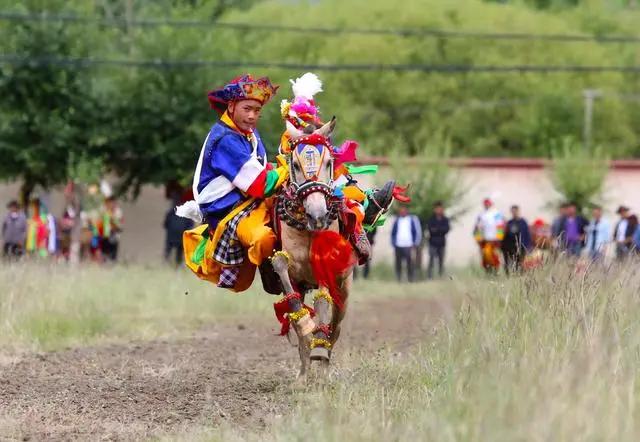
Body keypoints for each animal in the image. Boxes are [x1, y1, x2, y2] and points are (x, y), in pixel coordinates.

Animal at [268, 121, 358, 380]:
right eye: (296, 165)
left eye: (328, 162)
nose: (317, 216)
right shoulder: (293, 274)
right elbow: (281, 267)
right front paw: (307, 329)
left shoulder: (327, 268)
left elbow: (323, 307)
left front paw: (319, 349)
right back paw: (305, 371)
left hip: (344, 290)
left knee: (334, 327)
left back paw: (324, 366)